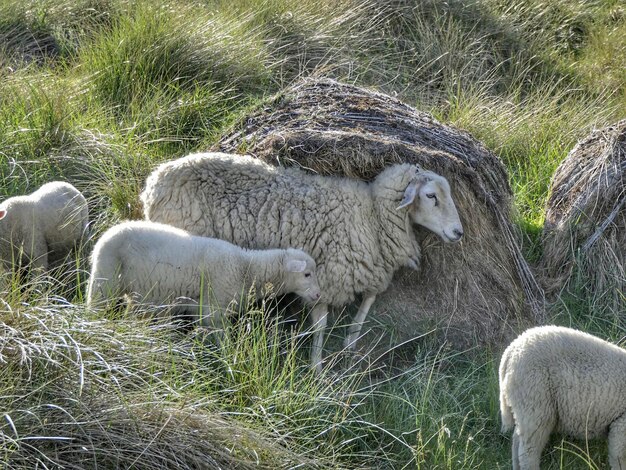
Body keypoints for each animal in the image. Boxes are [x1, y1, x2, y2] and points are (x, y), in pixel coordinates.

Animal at [86, 219, 322, 326]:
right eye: (307, 274)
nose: (319, 294)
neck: (245, 268)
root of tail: (107, 233)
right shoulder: (212, 311)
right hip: (105, 279)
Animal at [141, 151, 464, 370]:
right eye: (431, 196)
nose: (458, 232)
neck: (372, 216)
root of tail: (153, 183)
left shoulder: (368, 269)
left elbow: (366, 306)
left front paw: (349, 346)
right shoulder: (327, 277)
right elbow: (320, 325)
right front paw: (317, 369)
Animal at [500, 324, 626, 470]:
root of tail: (511, 351)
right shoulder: (621, 427)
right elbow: (620, 458)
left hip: (525, 407)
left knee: (517, 441)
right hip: (536, 404)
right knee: (528, 452)